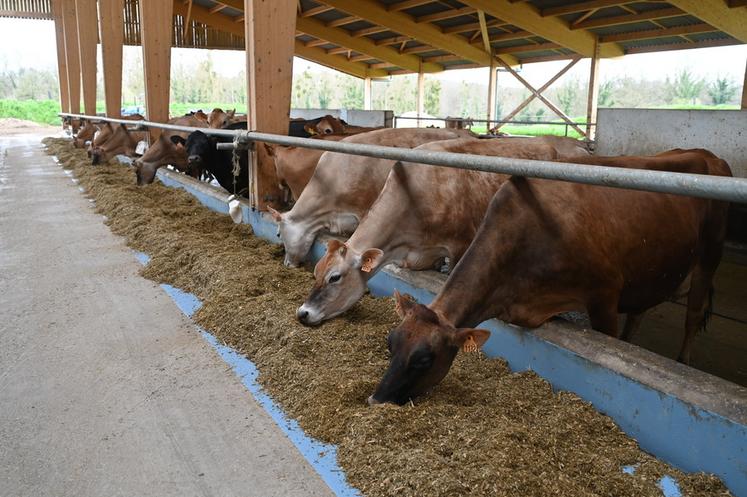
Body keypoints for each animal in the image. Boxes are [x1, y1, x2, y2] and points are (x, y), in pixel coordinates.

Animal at [372, 147, 732, 404]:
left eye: (423, 359)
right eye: (390, 343)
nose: (376, 399)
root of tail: (709, 155)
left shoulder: (605, 295)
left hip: (711, 253)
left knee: (694, 312)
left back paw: (684, 359)